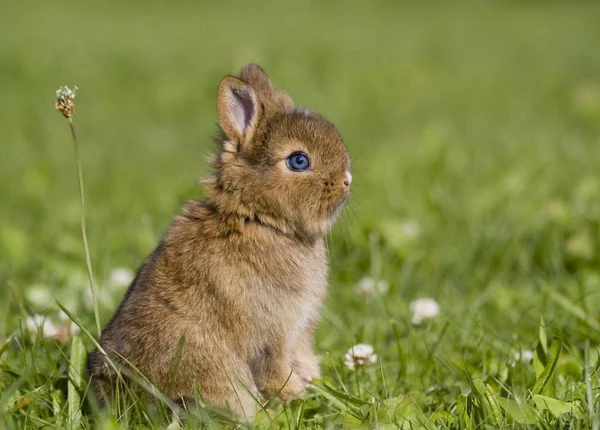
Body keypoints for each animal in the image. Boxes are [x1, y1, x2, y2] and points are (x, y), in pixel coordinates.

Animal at [88, 63, 352, 420]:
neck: (258, 218)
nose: (347, 181)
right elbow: (275, 373)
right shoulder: (272, 338)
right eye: (299, 161)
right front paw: (295, 397)